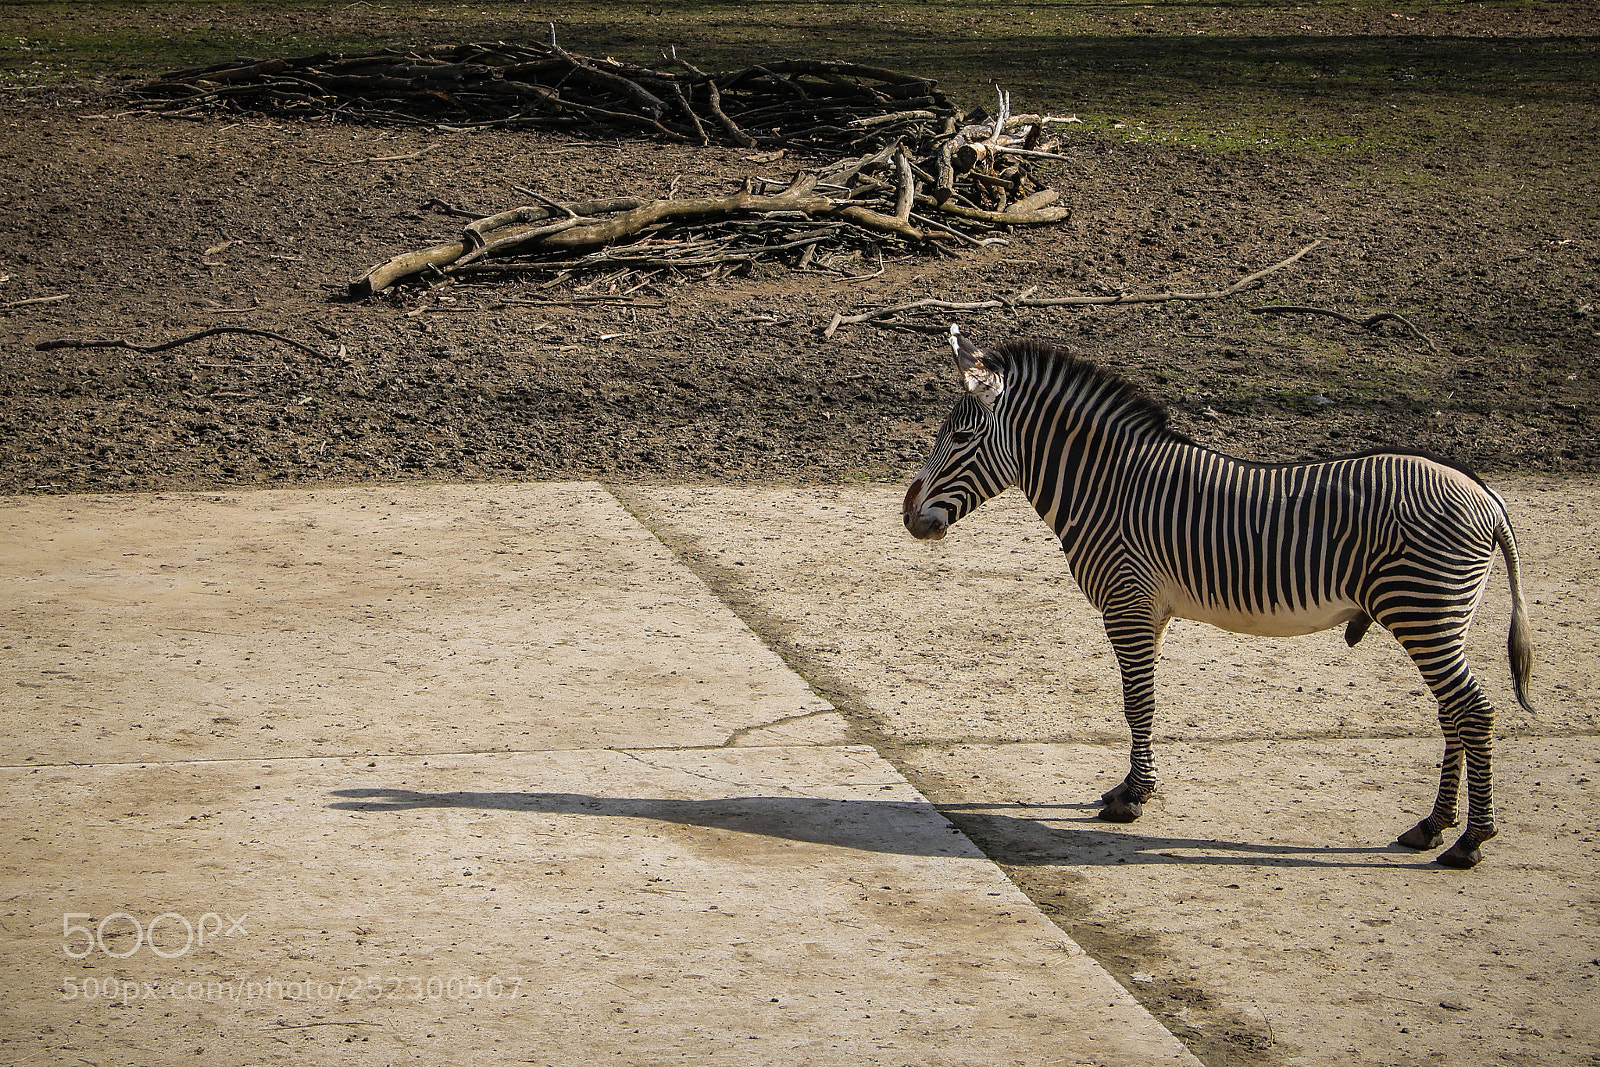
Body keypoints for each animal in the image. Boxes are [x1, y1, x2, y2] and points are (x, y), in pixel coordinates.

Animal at [903, 325, 1534, 868]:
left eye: (962, 437)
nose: (908, 517)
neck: (1109, 488)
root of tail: (1484, 492)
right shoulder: (1150, 610)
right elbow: (1143, 701)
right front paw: (1133, 787)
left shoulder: (1127, 604)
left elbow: (1136, 702)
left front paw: (1133, 798)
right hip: (1439, 618)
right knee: (1453, 712)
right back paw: (1431, 827)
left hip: (1423, 610)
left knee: (1474, 710)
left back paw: (1470, 842)